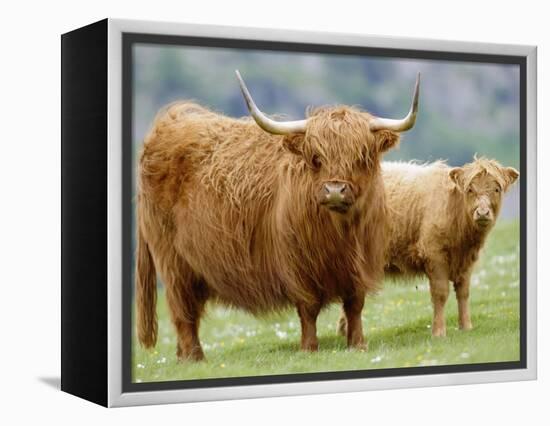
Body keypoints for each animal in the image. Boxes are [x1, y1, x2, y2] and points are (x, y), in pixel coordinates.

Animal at [138, 70, 422, 360]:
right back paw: (195, 357)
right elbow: (308, 308)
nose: (334, 190)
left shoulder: (361, 264)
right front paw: (309, 348)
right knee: (183, 311)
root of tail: (167, 124)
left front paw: (358, 344)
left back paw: (183, 356)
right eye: (316, 158)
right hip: (173, 262)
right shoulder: (297, 264)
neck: (340, 234)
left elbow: (355, 305)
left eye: (361, 157)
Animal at [338, 156, 520, 336]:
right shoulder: (434, 255)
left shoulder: (467, 261)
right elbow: (440, 293)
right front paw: (439, 331)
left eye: (497, 189)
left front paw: (466, 326)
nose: (482, 213)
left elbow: (463, 293)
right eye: (469, 189)